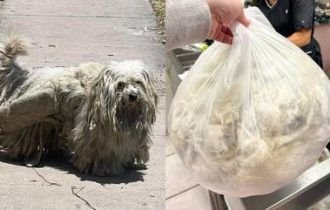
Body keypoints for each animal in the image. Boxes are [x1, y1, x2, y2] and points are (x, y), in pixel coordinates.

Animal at [0, 34, 159, 176]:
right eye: (120, 84)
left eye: (138, 82)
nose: (133, 96)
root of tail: (28, 75)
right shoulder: (95, 136)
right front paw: (104, 169)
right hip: (32, 111)